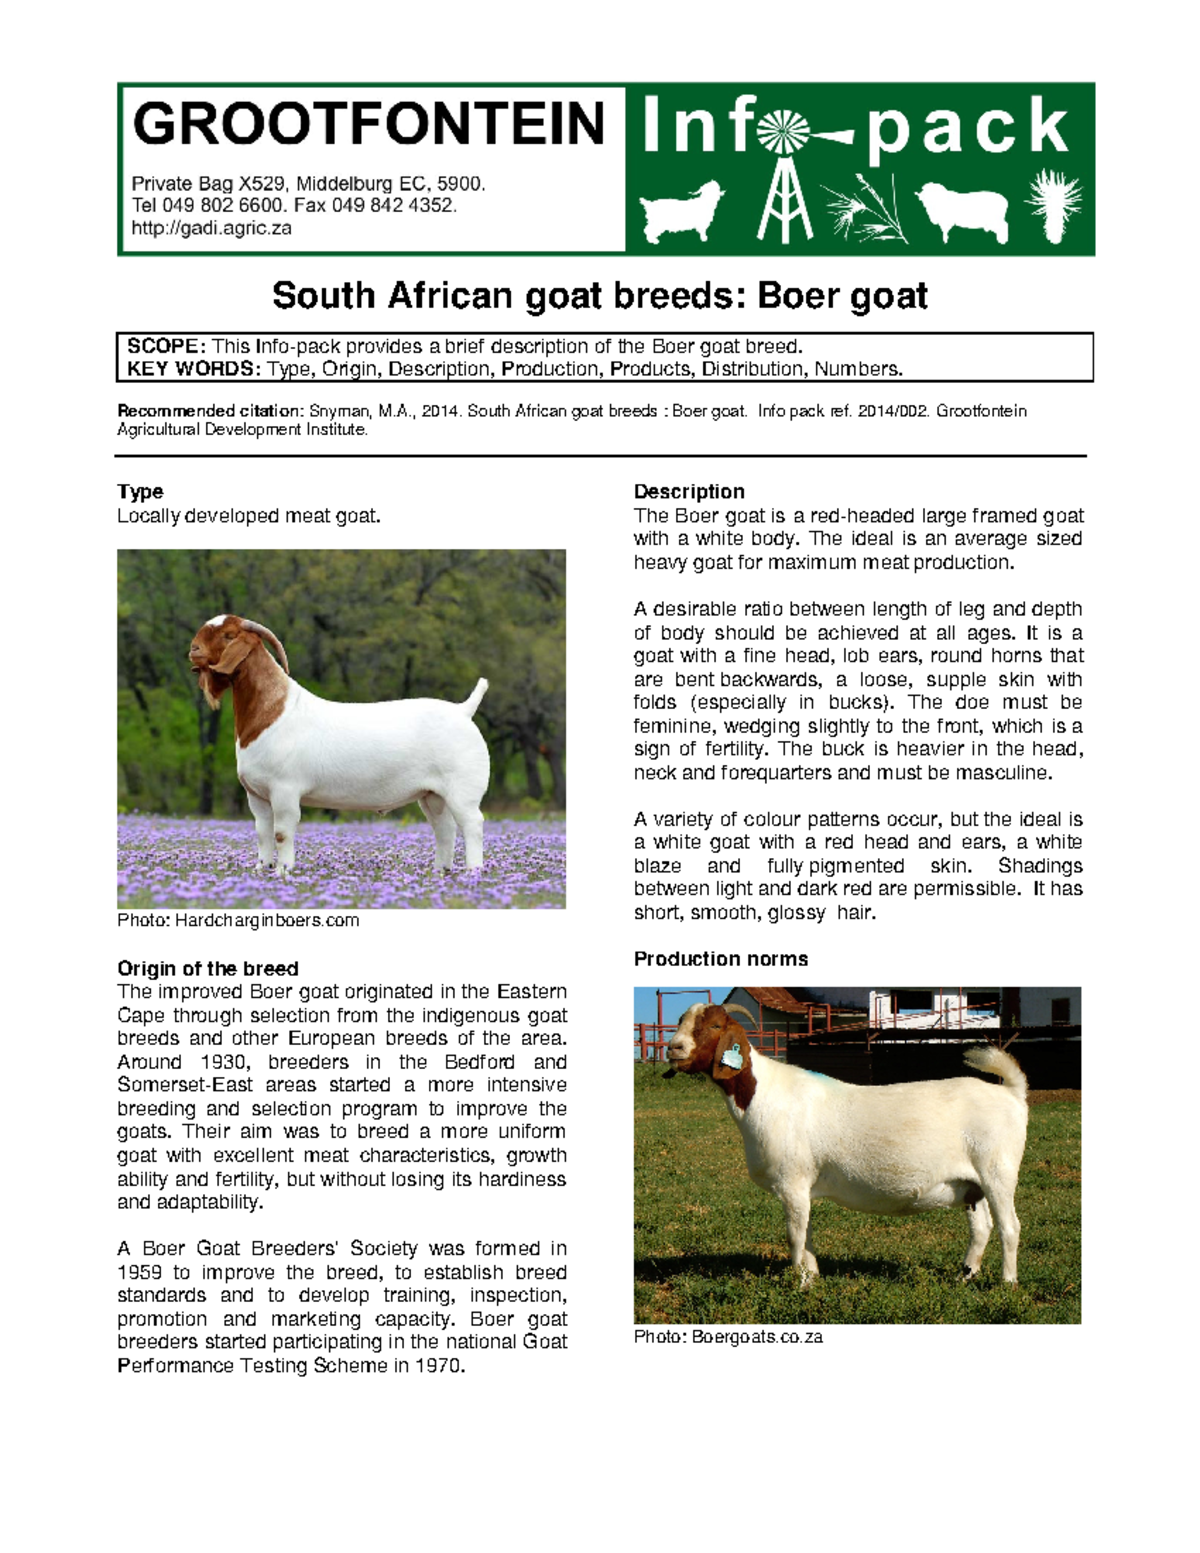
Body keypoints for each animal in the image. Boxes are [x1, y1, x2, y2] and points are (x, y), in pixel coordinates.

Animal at [188, 615, 489, 875]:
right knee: (445, 828)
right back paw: (440, 872)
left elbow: (282, 832)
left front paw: (284, 870)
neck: (274, 711)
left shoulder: (284, 790)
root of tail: (463, 711)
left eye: (228, 635)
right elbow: (263, 832)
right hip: (432, 795)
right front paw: (262, 869)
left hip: (462, 790)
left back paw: (472, 872)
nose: (193, 649)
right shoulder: (256, 794)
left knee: (472, 824)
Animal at [664, 1003, 1028, 1283]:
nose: (673, 1048)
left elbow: (795, 1236)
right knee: (981, 1227)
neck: (764, 1094)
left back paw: (1007, 1283)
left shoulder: (792, 1182)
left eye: (715, 1025)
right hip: (971, 1184)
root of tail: (1012, 1092)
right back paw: (965, 1276)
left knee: (1009, 1226)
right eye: (680, 1021)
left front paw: (799, 1284)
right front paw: (813, 1278)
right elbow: (807, 1234)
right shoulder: (803, 1189)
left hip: (998, 1171)